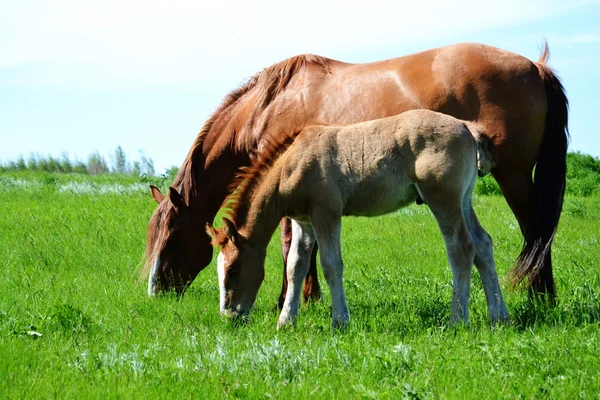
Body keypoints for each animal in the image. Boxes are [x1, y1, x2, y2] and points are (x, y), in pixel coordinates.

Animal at [144, 41, 568, 304]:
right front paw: (309, 297)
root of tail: (535, 67)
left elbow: (289, 246)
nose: (155, 290)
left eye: (174, 235)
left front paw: (289, 299)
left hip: (513, 177)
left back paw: (540, 299)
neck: (268, 106)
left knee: (535, 233)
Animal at [207, 110, 510, 328]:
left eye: (233, 269)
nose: (229, 316)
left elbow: (331, 265)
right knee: (483, 245)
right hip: (464, 200)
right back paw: (499, 316)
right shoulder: (304, 222)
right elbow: (295, 266)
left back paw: (457, 319)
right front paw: (286, 322)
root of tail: (465, 126)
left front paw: (340, 321)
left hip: (443, 200)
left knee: (462, 248)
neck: (292, 163)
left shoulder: (326, 213)